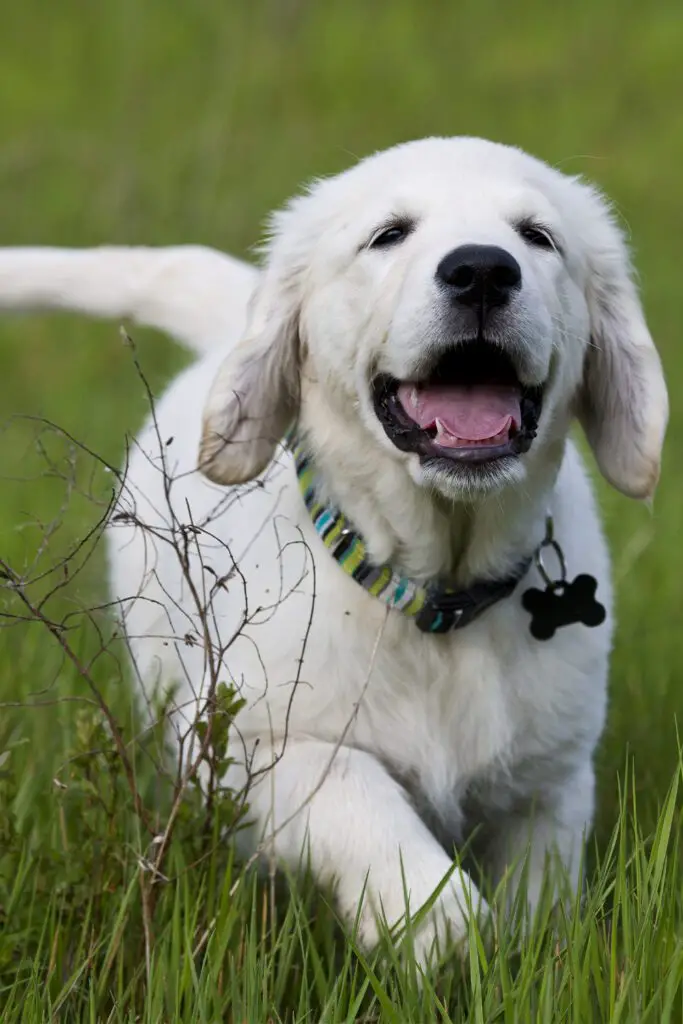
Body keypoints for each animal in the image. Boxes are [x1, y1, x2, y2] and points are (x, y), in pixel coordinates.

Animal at [0, 136, 667, 966]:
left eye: (536, 237)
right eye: (389, 235)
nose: (483, 269)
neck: (434, 595)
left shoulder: (550, 779)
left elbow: (537, 900)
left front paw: (517, 957)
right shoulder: (242, 742)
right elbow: (352, 785)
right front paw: (435, 919)